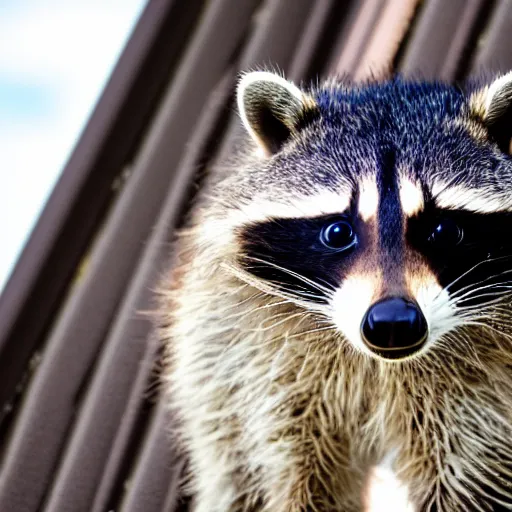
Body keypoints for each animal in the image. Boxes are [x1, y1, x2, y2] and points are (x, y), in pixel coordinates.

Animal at [160, 69, 512, 512]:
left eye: (444, 231)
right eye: (338, 232)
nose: (393, 323)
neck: (381, 365)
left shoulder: (478, 396)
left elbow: (467, 479)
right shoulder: (267, 373)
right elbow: (295, 470)